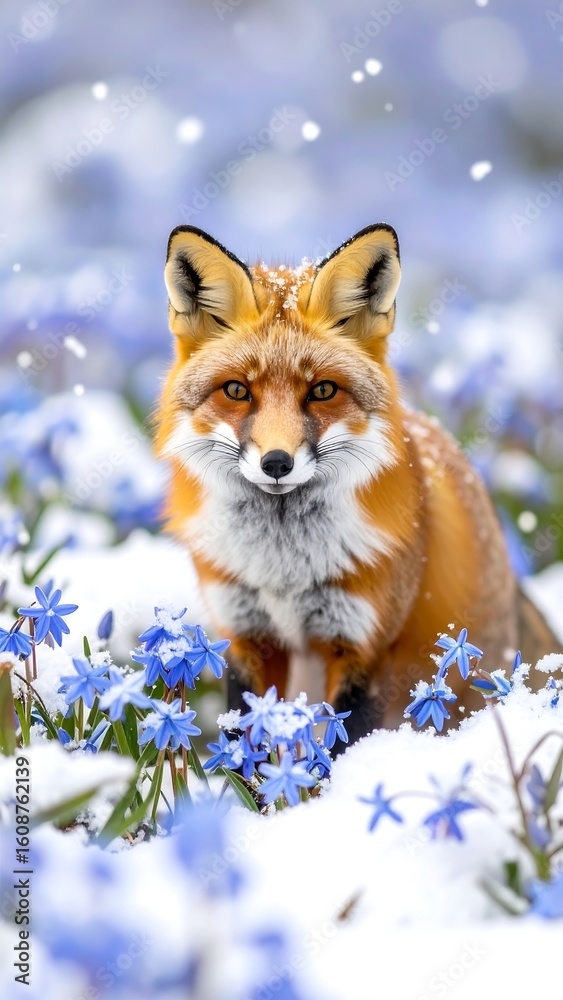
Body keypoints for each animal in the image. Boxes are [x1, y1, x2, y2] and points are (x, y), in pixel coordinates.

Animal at [155, 223, 560, 745]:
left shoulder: (362, 645)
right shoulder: (245, 636)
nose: (277, 462)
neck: (283, 570)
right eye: (237, 391)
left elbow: (343, 744)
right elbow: (247, 751)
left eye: (323, 390)